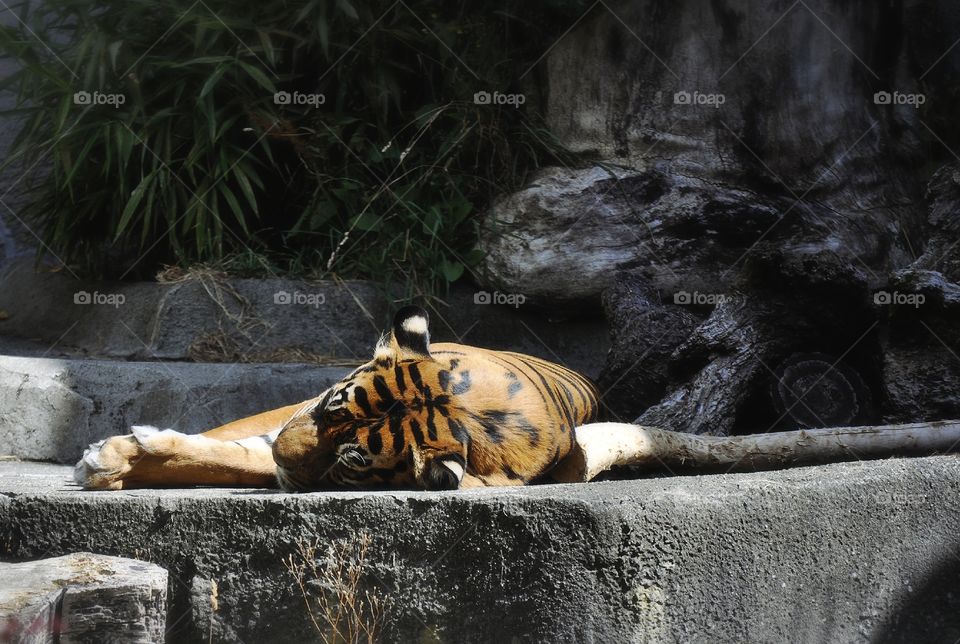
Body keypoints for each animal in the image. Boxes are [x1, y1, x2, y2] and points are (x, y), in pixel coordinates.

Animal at [75, 306, 600, 491]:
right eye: (331, 408)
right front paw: (111, 458)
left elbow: (235, 462)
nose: (281, 453)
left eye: (351, 463)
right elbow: (224, 453)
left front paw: (110, 461)